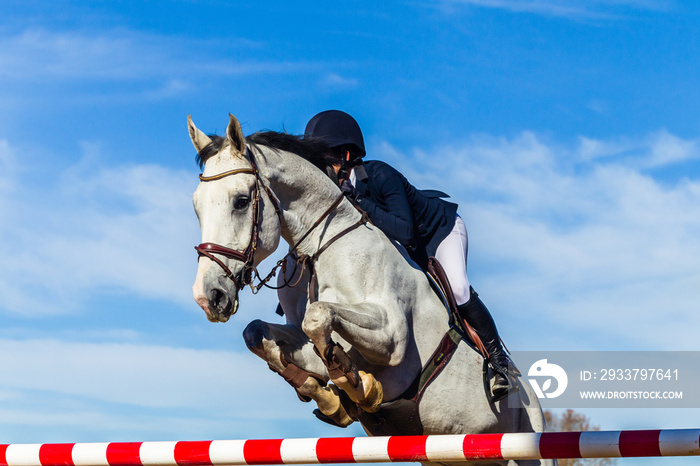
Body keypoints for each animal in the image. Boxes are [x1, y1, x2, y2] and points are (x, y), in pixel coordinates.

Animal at [189, 114, 556, 466]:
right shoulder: (301, 333)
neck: (322, 247)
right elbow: (260, 334)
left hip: (527, 445)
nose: (209, 297)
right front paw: (328, 396)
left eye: (241, 201)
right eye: (196, 206)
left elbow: (319, 318)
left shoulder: (392, 340)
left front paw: (358, 386)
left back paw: (501, 375)